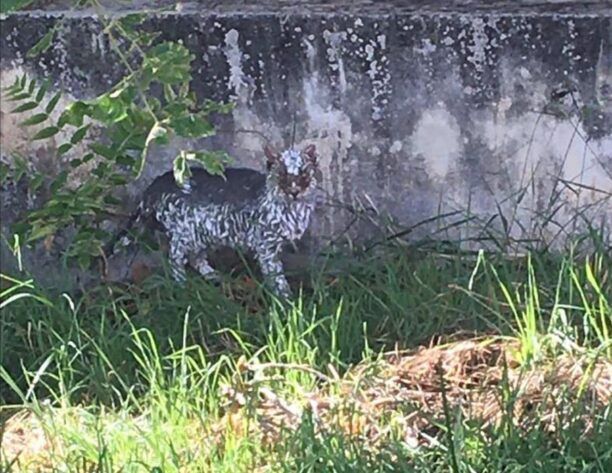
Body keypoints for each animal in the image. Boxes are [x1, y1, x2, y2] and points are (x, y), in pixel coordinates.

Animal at [105, 144, 318, 296]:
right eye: (282, 176)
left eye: (303, 175)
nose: (294, 191)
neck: (293, 211)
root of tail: (155, 184)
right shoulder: (266, 246)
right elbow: (276, 276)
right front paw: (286, 300)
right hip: (184, 233)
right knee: (175, 258)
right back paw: (183, 286)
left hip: (203, 234)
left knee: (196, 259)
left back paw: (215, 276)